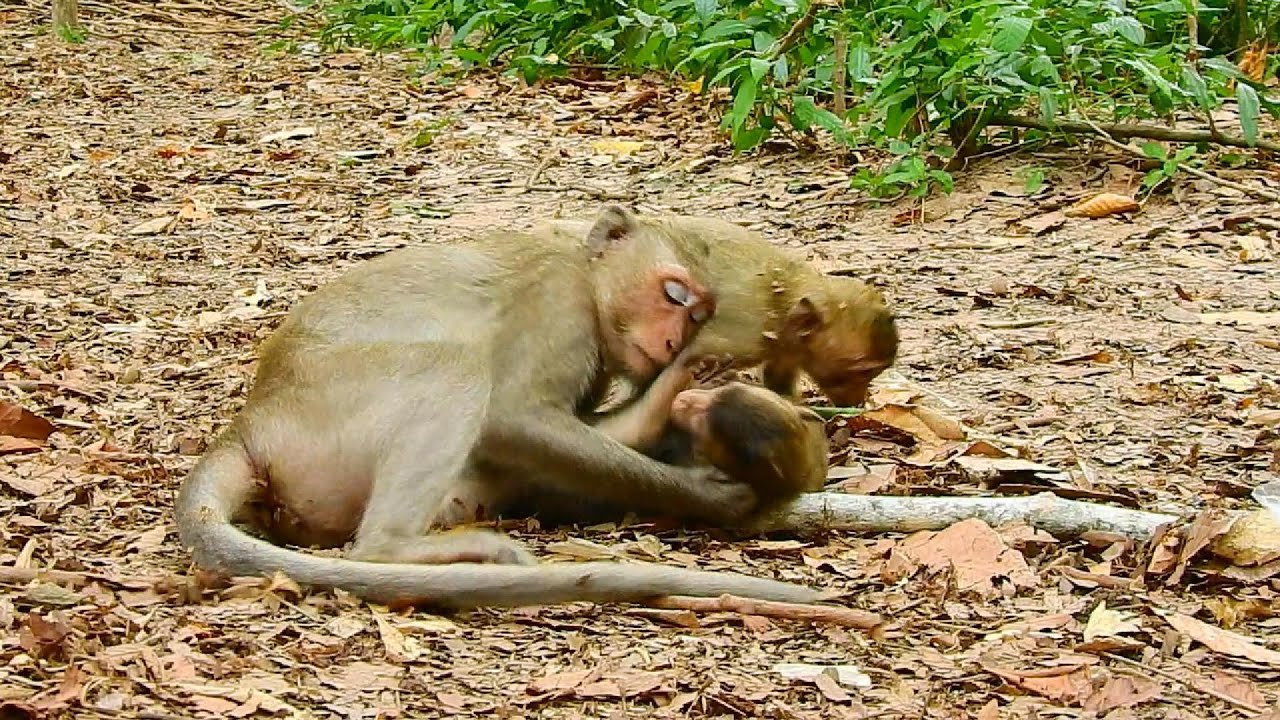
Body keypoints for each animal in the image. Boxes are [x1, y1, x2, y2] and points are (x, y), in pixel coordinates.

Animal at [175, 205, 826, 610]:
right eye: (673, 293)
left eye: (698, 314)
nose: (673, 339)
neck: (584, 272)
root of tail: (249, 427)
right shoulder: (559, 306)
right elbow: (512, 417)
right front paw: (711, 497)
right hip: (327, 416)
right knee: (454, 374)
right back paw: (400, 547)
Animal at [547, 214, 899, 407]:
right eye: (862, 372)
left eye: (874, 373)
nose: (859, 399)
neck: (781, 301)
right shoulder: (743, 334)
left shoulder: (787, 347)